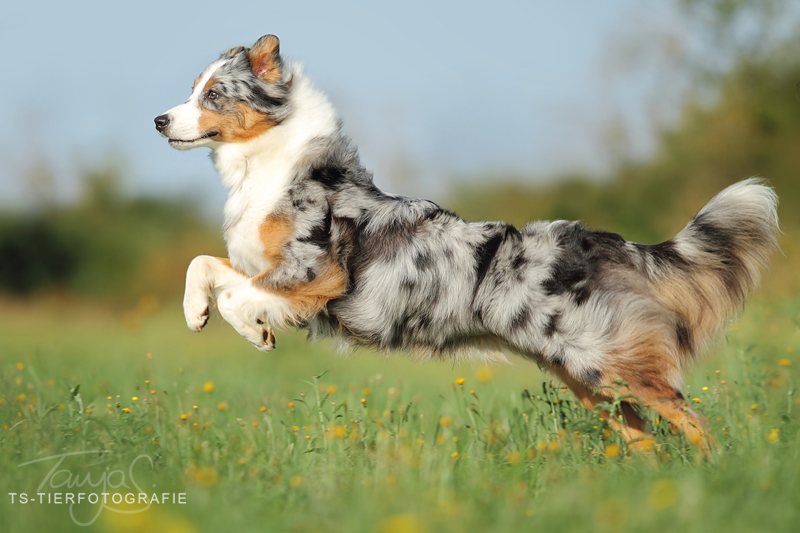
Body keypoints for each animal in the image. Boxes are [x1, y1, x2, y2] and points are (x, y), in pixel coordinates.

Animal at [153, 35, 780, 454]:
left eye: (214, 94)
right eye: (192, 90)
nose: (159, 120)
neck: (272, 164)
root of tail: (600, 241)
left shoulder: (315, 273)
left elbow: (238, 295)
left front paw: (252, 331)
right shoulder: (263, 267)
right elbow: (204, 264)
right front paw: (196, 314)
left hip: (611, 368)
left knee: (692, 420)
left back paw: (716, 476)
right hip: (587, 378)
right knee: (644, 438)